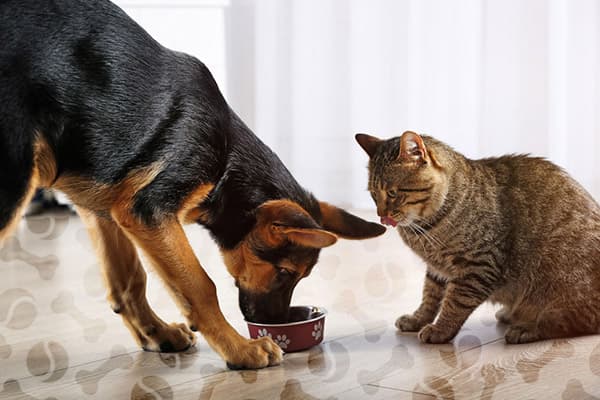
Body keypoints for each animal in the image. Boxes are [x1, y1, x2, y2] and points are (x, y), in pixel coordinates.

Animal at [0, 0, 384, 368]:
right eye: (285, 272)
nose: (277, 324)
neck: (226, 161)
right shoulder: (148, 210)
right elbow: (201, 286)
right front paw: (240, 350)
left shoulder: (104, 206)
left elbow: (129, 281)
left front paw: (156, 334)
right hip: (13, 187)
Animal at [356, 131, 600, 344]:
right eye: (373, 194)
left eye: (393, 193)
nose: (381, 216)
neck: (425, 228)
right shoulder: (437, 269)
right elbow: (430, 297)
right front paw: (417, 319)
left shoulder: (478, 265)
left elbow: (455, 302)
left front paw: (440, 330)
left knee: (573, 320)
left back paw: (526, 328)